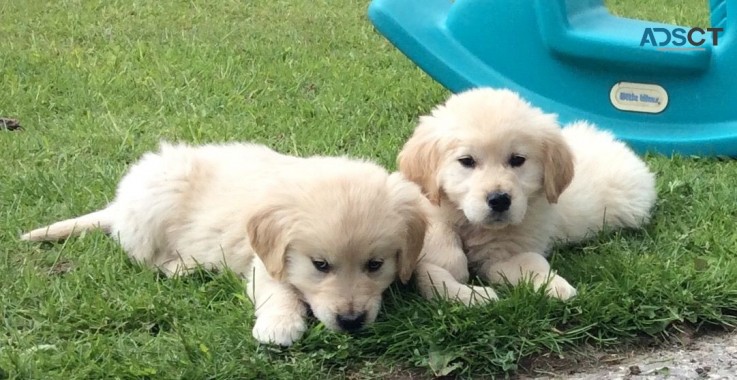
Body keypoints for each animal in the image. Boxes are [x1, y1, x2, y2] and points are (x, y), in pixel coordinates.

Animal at [21, 141, 426, 346]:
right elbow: (279, 289)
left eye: (375, 265)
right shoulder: (265, 261)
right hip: (159, 196)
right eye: (320, 265)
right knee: (143, 255)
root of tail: (119, 206)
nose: (351, 321)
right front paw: (279, 325)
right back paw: (183, 267)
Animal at [396, 87, 656, 304]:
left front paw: (557, 286)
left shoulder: (506, 254)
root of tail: (615, 143)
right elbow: (438, 241)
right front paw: (458, 271)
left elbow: (531, 262)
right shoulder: (426, 206)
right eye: (466, 161)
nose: (499, 200)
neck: (475, 226)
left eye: (517, 160)